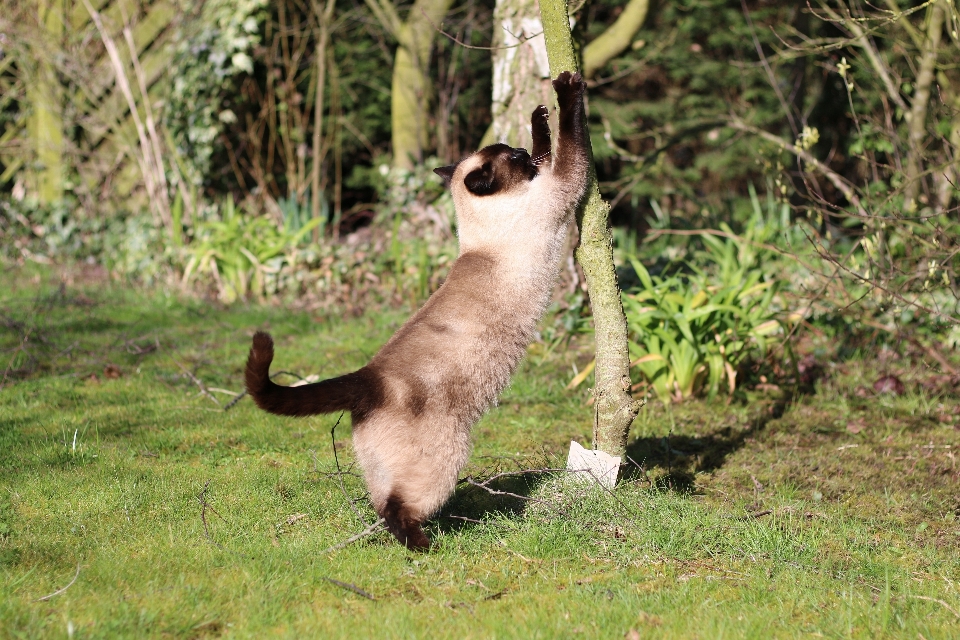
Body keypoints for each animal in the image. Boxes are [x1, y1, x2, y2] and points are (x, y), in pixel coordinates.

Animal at [246, 71, 592, 552]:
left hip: (379, 464)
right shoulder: (560, 186)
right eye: (514, 159)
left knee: (381, 502)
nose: (525, 158)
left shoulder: (549, 183)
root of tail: (367, 377)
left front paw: (539, 115)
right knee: (399, 508)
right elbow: (571, 142)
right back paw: (426, 547)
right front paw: (566, 88)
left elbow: (552, 143)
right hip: (445, 457)